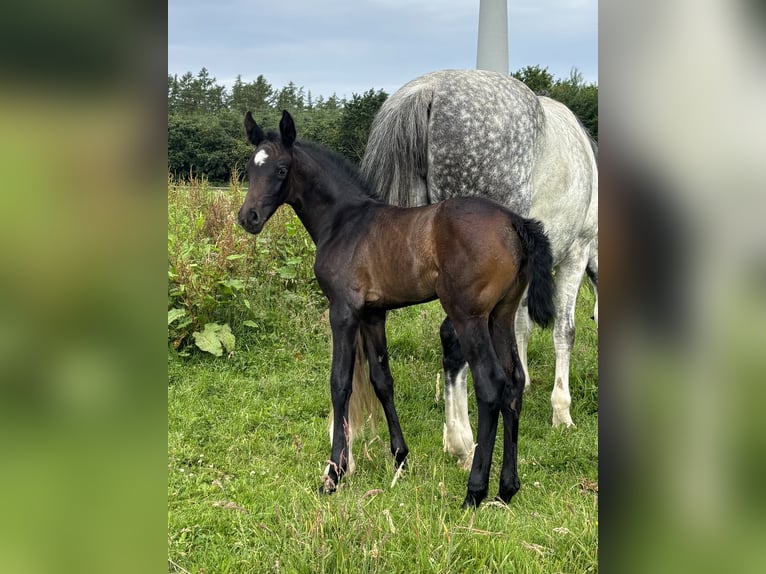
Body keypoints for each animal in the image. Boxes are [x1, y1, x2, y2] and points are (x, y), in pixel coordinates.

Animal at [237, 109, 555, 508]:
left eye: (281, 169)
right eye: (250, 168)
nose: (247, 217)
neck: (344, 221)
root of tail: (515, 221)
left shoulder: (342, 311)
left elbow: (339, 384)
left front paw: (334, 473)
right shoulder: (374, 314)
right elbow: (382, 380)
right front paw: (400, 459)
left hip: (469, 316)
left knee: (491, 385)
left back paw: (474, 491)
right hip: (501, 314)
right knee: (514, 383)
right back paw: (507, 488)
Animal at [360, 70, 598, 465]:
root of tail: (429, 90)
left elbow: (519, 328)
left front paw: (522, 383)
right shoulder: (575, 255)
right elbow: (564, 331)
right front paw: (561, 413)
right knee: (453, 339)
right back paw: (462, 442)